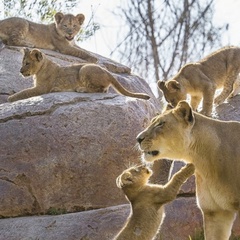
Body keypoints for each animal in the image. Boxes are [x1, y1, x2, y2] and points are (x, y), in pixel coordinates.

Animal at [7, 48, 150, 101]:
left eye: (27, 63)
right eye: (22, 62)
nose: (20, 71)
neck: (41, 68)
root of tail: (108, 72)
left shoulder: (42, 88)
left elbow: (25, 92)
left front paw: (10, 98)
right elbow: (24, 91)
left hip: (84, 68)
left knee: (101, 90)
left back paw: (81, 89)